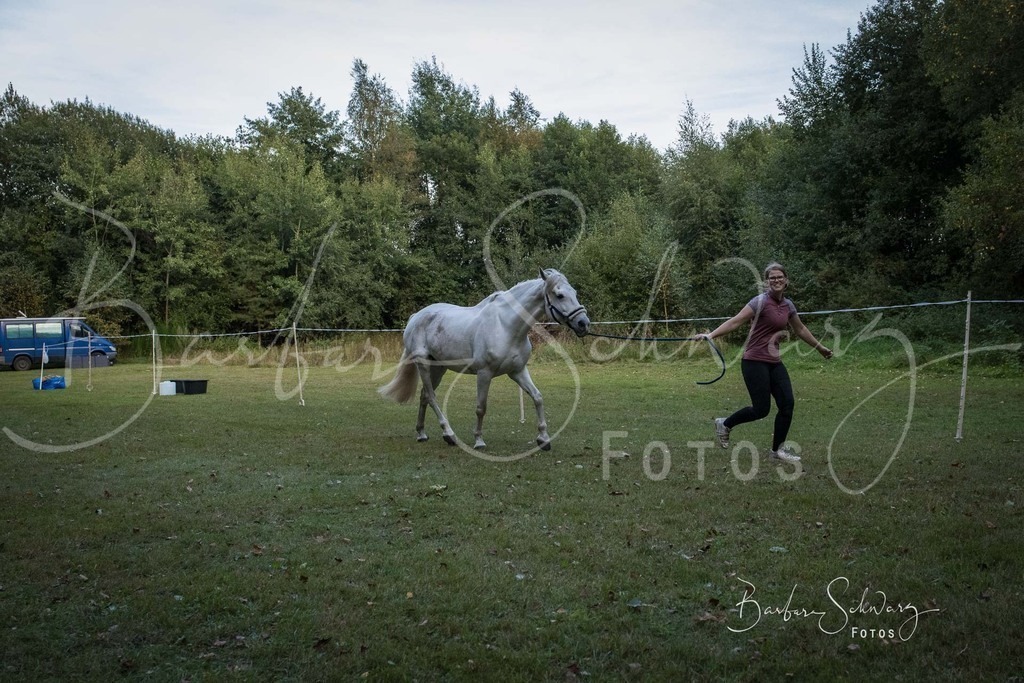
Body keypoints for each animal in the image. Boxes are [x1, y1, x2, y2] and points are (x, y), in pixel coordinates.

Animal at [378, 269, 590, 451]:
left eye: (574, 292)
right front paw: (479, 441)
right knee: (430, 396)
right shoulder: (484, 373)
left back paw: (422, 434)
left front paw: (543, 439)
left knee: (424, 396)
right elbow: (481, 407)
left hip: (438, 367)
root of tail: (416, 316)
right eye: (559, 295)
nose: (583, 323)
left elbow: (537, 397)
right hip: (423, 364)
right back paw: (449, 434)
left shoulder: (518, 371)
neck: (506, 326)